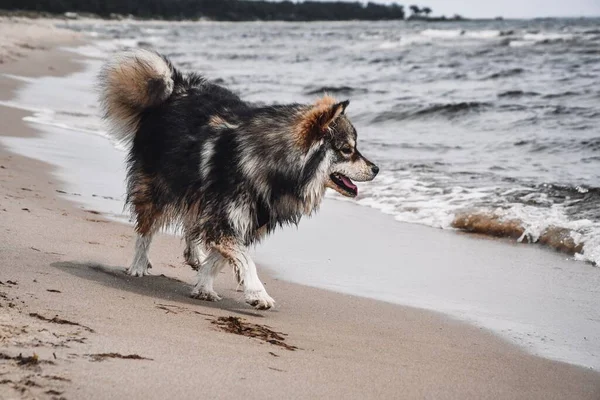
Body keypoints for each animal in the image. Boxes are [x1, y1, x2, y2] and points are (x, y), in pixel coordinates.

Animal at [99, 49, 380, 310]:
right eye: (347, 149)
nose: (376, 169)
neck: (272, 165)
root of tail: (177, 89)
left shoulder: (244, 221)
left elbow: (219, 258)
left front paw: (204, 286)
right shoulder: (225, 218)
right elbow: (245, 259)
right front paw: (258, 293)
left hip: (197, 191)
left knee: (191, 221)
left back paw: (194, 253)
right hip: (159, 185)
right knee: (146, 227)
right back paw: (138, 264)